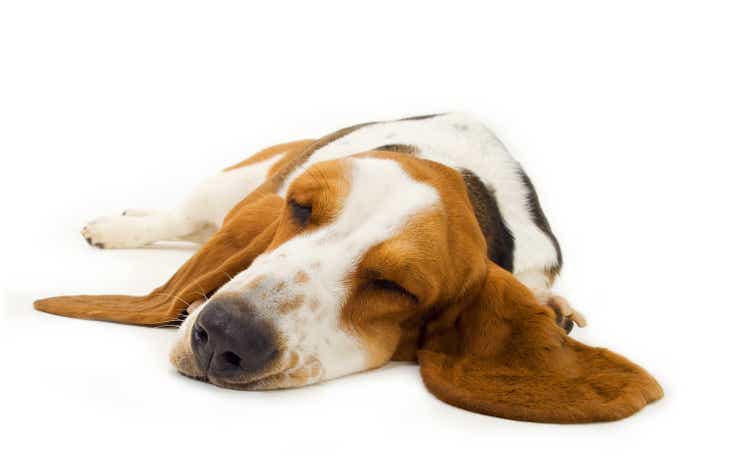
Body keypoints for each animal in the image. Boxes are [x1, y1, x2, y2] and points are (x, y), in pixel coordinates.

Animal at [35, 113, 660, 424]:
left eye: (395, 286)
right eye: (300, 209)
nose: (226, 336)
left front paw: (556, 311)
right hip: (232, 183)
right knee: (182, 218)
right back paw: (118, 226)